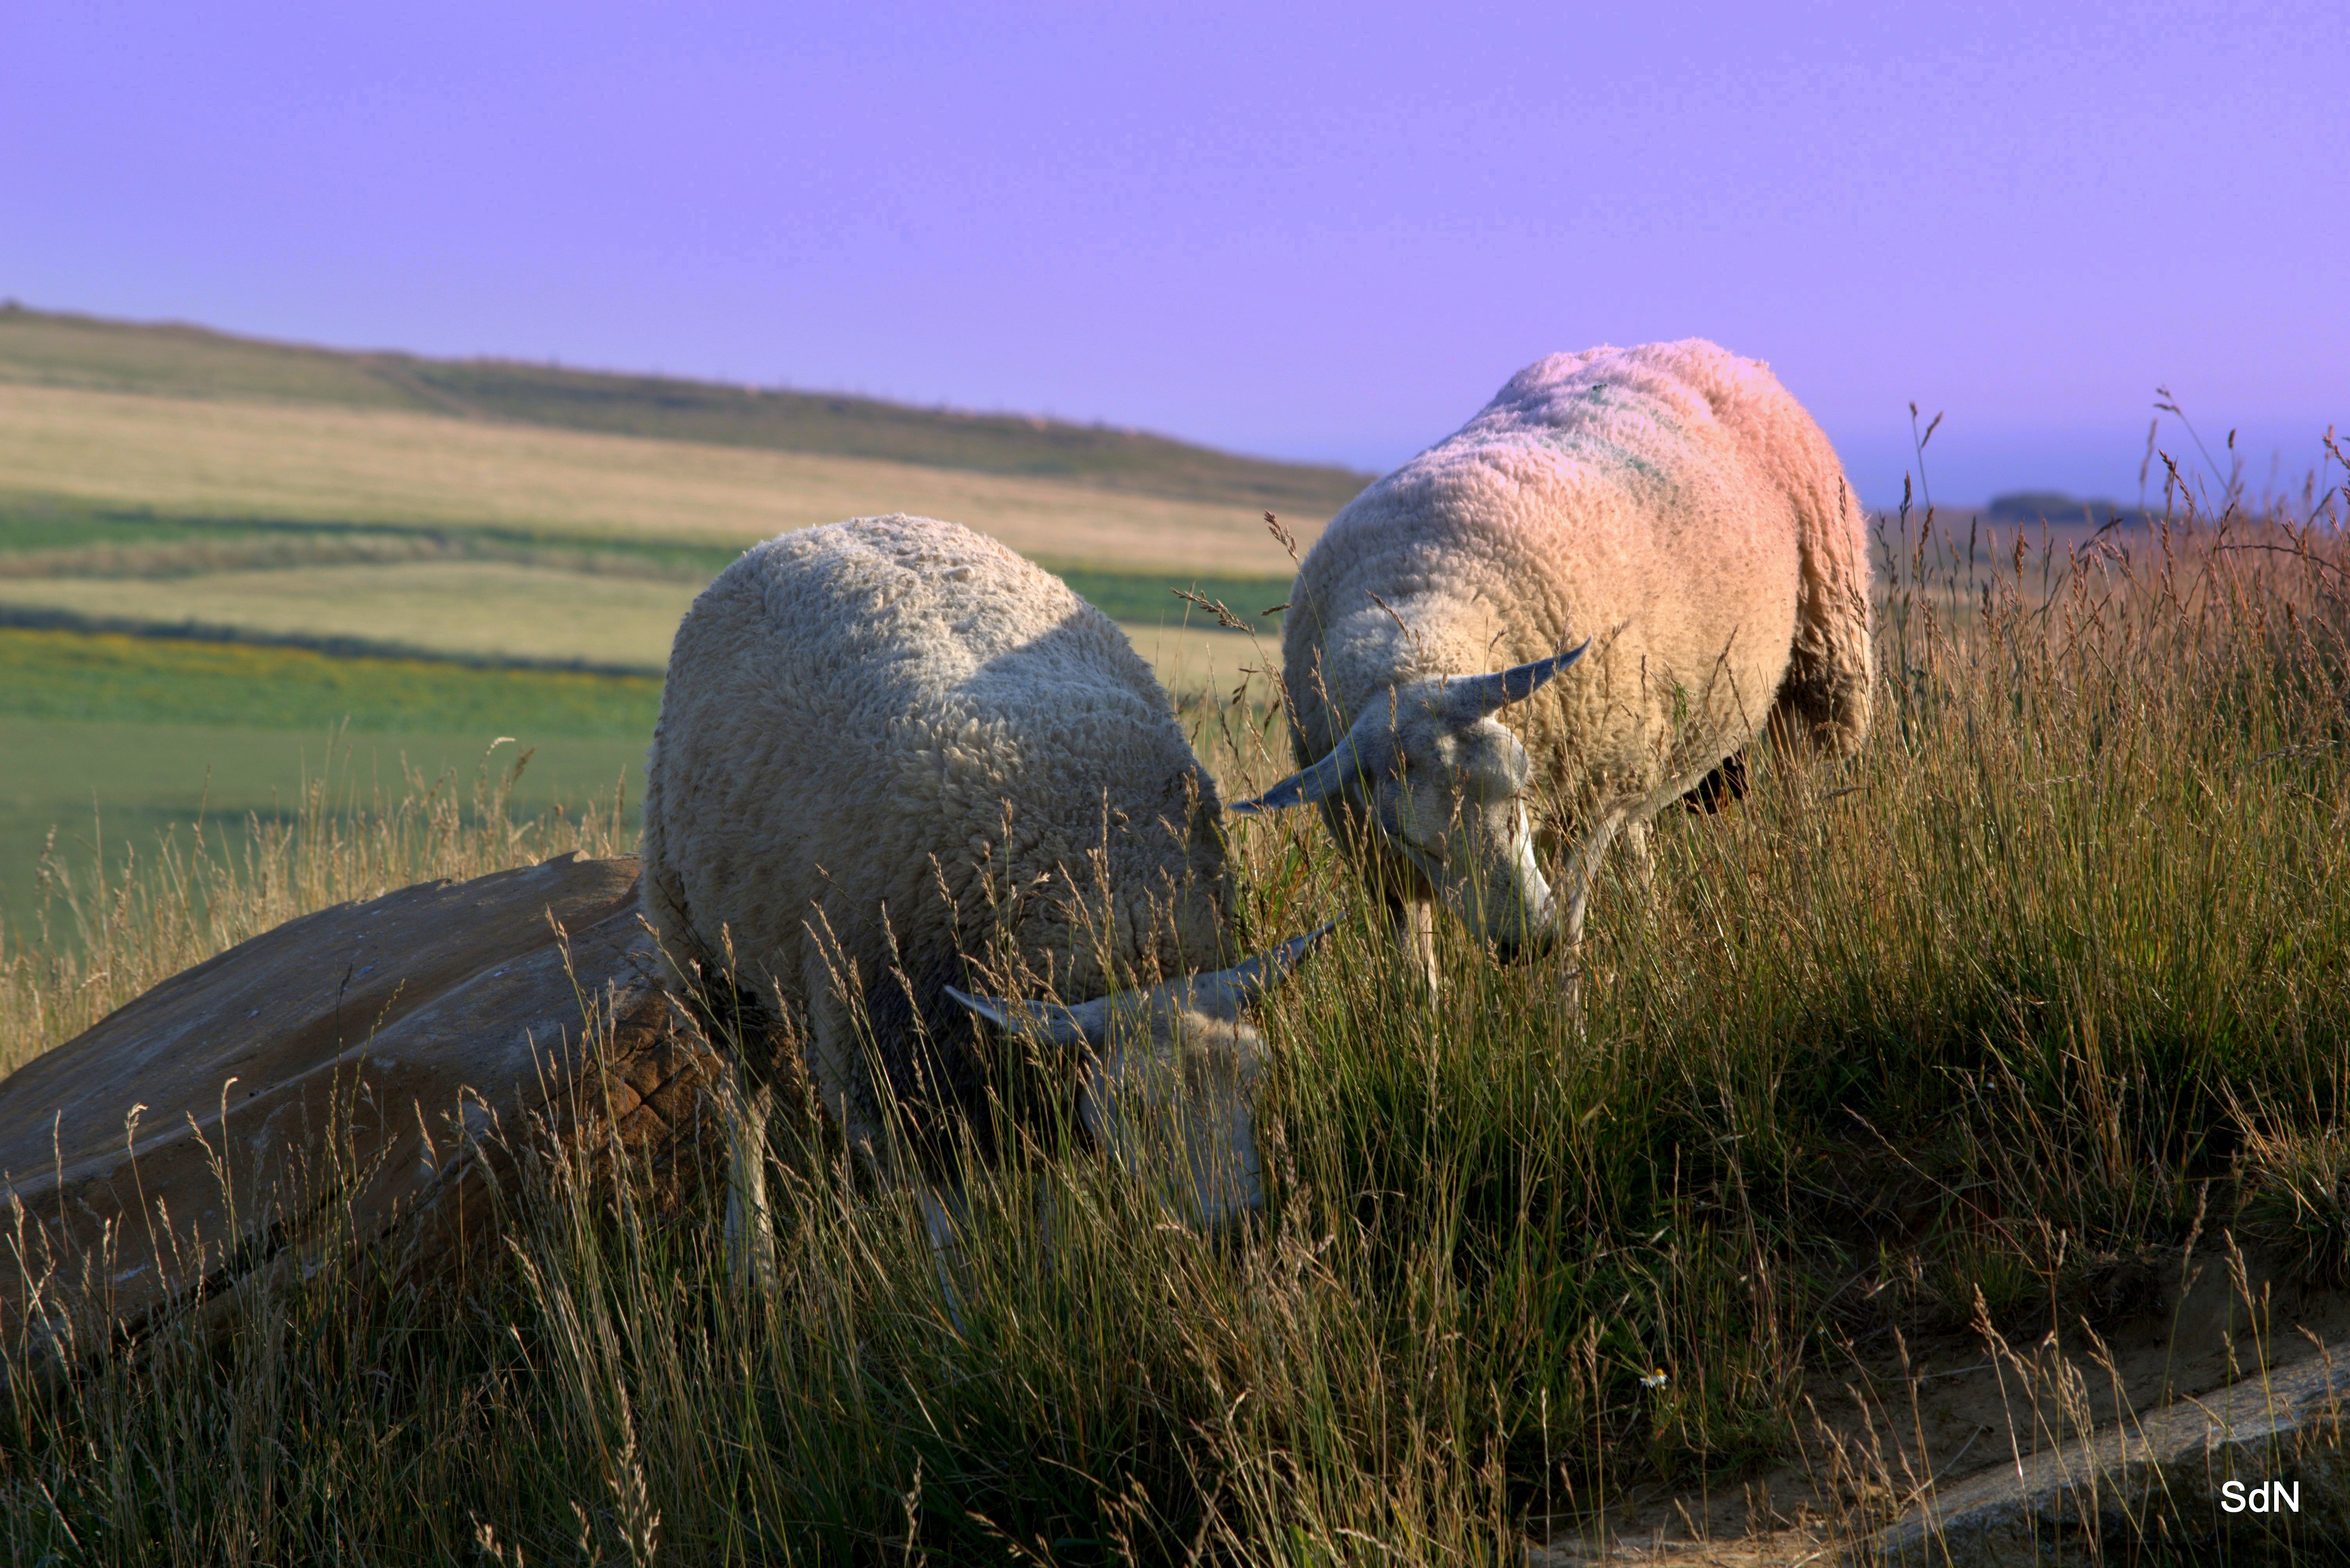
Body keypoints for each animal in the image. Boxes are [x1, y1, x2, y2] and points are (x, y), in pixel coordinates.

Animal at [639, 515, 1325, 1222]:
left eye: (1256, 1076)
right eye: (1133, 1102)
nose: (1235, 1224)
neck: (1120, 914)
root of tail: (817, 527)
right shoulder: (894, 1079)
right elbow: (951, 1234)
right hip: (701, 953)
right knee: (743, 1102)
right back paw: (749, 1242)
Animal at [1250, 341, 1870, 973]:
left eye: (1515, 795)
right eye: (1410, 837)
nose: (1525, 943)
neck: (1417, 632)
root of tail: (1687, 348)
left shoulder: (1589, 806)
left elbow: (1571, 924)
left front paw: (1564, 993)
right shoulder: (1385, 867)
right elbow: (1414, 964)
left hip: (1820, 661)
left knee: (1800, 792)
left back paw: (1807, 896)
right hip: (1642, 739)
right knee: (1641, 838)